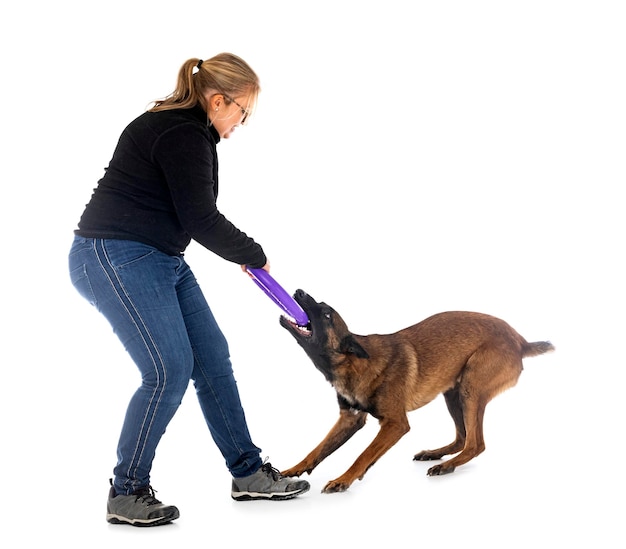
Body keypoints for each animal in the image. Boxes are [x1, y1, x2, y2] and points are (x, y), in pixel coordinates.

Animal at [278, 292, 552, 492]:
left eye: (326, 314)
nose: (299, 292)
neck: (355, 361)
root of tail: (520, 341)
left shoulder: (396, 424)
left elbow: (363, 455)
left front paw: (343, 479)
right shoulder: (350, 419)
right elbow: (318, 449)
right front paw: (293, 470)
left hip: (470, 389)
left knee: (476, 444)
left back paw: (447, 466)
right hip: (453, 394)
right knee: (462, 437)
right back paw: (435, 455)